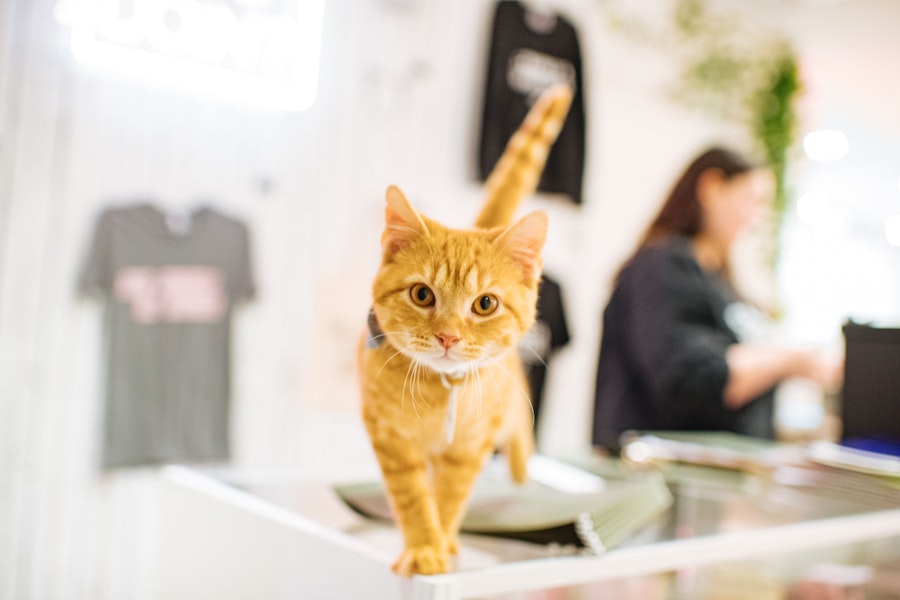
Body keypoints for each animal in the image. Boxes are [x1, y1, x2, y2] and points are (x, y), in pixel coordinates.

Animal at [356, 84, 568, 576]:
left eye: (485, 304)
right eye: (422, 295)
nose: (449, 337)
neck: (441, 391)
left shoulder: (469, 449)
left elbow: (450, 497)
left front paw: (443, 541)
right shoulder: (390, 440)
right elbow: (414, 498)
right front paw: (424, 547)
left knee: (519, 437)